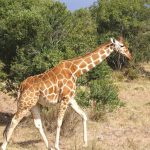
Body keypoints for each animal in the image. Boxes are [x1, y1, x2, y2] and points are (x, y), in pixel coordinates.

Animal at [1, 36, 131, 150]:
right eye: (122, 45)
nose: (129, 56)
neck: (76, 71)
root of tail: (21, 86)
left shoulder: (71, 98)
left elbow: (83, 115)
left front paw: (84, 143)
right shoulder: (65, 98)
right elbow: (59, 122)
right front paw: (57, 146)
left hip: (34, 104)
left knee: (37, 124)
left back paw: (48, 147)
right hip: (26, 104)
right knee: (14, 120)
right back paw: (4, 146)